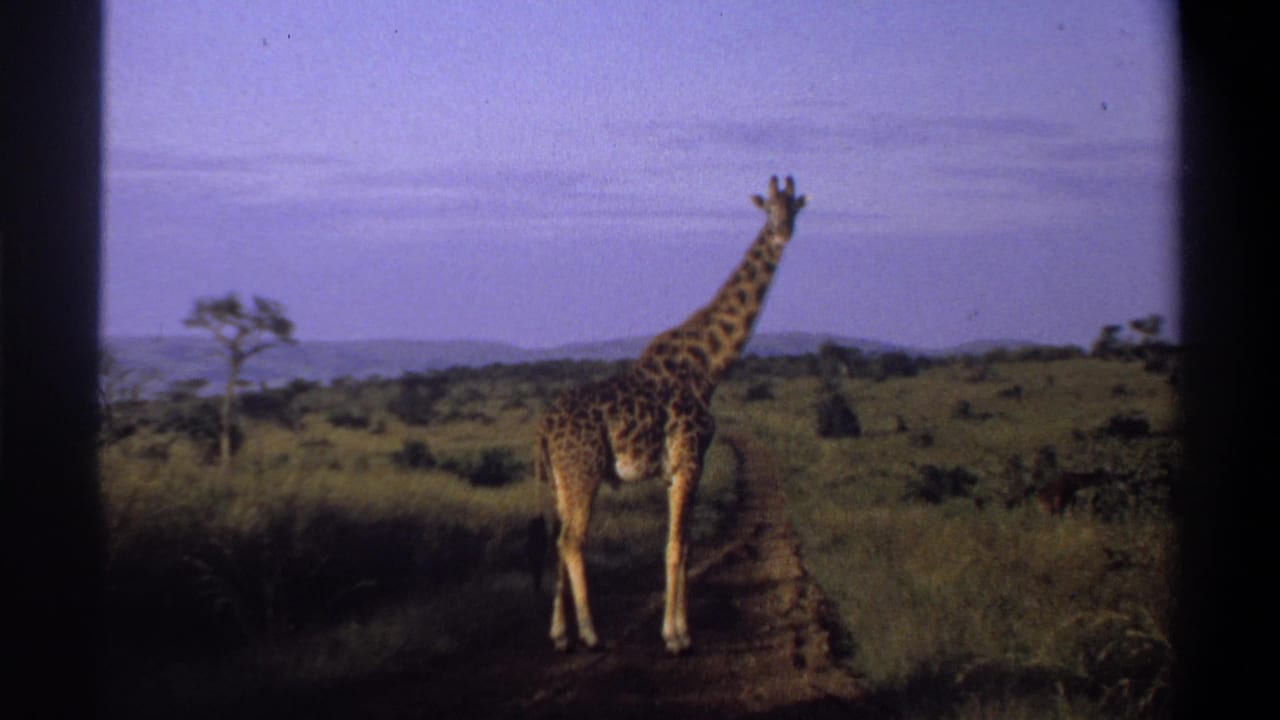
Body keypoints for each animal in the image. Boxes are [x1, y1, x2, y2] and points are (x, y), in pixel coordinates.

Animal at [535, 176, 806, 654]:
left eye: (793, 209)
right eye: (768, 210)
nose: (783, 233)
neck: (708, 366)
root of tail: (544, 428)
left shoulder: (675, 468)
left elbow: (687, 544)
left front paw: (680, 629)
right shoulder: (688, 458)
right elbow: (677, 545)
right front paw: (677, 636)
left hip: (561, 478)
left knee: (557, 539)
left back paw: (560, 634)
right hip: (584, 471)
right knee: (571, 540)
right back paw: (590, 633)